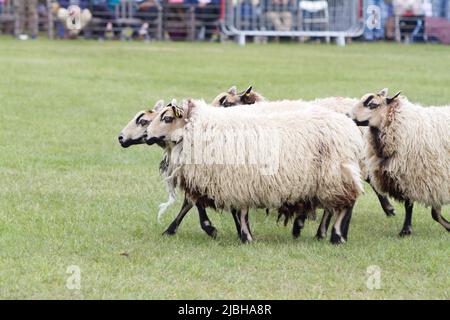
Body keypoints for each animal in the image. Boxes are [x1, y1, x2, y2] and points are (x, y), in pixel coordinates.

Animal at [146, 99, 364, 244]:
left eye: (166, 118)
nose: (147, 135)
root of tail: (350, 127)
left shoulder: (237, 180)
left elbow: (238, 211)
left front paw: (244, 236)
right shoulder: (222, 181)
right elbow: (201, 204)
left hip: (334, 173)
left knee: (344, 204)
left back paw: (336, 236)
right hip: (329, 177)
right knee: (336, 204)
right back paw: (317, 232)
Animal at [352, 89, 450, 236]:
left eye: (373, 105)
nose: (347, 116)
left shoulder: (423, 178)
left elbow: (423, 210)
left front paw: (405, 230)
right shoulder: (410, 178)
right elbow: (415, 207)